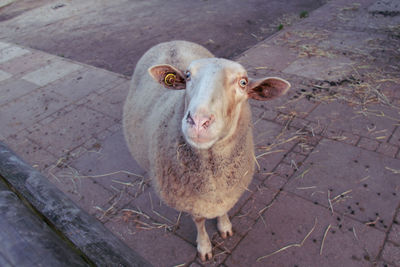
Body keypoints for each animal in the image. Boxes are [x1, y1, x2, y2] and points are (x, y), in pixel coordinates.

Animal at [122, 40, 290, 262]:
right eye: (187, 75)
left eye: (243, 82)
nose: (198, 121)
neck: (212, 177)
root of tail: (171, 41)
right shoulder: (191, 200)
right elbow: (199, 221)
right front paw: (204, 246)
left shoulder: (228, 191)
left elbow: (224, 210)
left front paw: (225, 227)